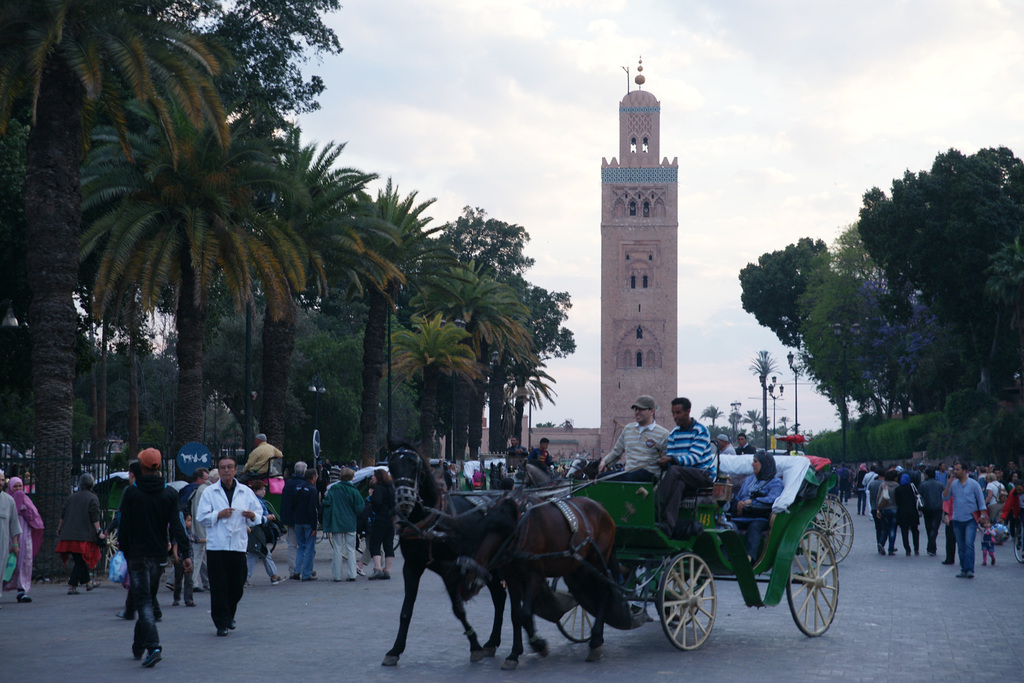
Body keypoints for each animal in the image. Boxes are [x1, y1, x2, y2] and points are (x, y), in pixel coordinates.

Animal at [380, 448, 507, 667]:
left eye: (414, 465)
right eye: (391, 466)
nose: (404, 500)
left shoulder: (450, 569)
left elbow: (458, 608)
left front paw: (474, 645)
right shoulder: (412, 566)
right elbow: (406, 610)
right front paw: (395, 650)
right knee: (499, 596)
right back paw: (492, 641)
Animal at [452, 493, 618, 671]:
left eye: (507, 531)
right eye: (485, 526)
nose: (469, 577)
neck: (524, 531)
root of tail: (601, 508)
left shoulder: (535, 576)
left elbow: (524, 614)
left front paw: (535, 645)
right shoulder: (512, 578)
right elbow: (515, 615)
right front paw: (515, 653)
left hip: (598, 560)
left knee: (605, 589)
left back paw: (596, 640)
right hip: (582, 567)